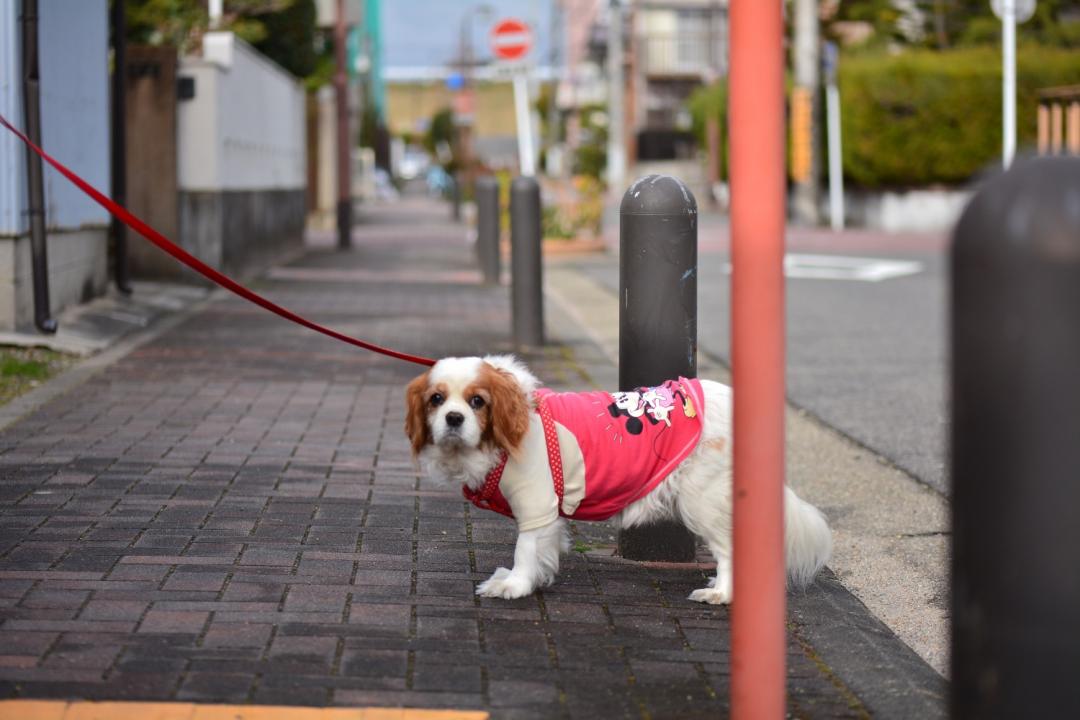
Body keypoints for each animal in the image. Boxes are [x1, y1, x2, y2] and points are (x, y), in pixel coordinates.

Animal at [406, 354, 833, 604]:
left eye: (477, 402)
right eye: (436, 400)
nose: (453, 418)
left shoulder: (536, 502)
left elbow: (525, 549)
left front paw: (515, 586)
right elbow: (542, 550)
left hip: (702, 501)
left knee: (729, 549)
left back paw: (722, 593)